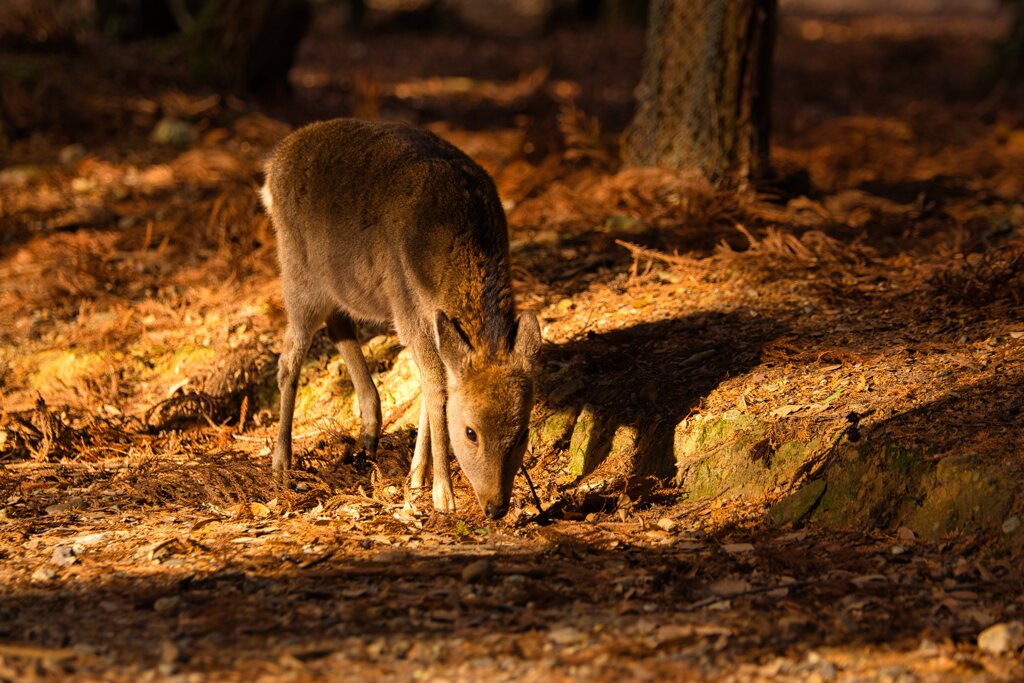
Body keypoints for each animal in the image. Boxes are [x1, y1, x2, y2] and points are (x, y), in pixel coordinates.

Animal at [260, 120, 540, 520]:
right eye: (470, 432)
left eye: (522, 433)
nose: (495, 506)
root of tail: (272, 167)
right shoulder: (407, 309)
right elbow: (436, 385)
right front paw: (442, 493)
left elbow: (431, 382)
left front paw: (418, 476)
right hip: (298, 274)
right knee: (289, 359)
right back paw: (281, 464)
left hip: (337, 284)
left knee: (339, 325)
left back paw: (369, 434)